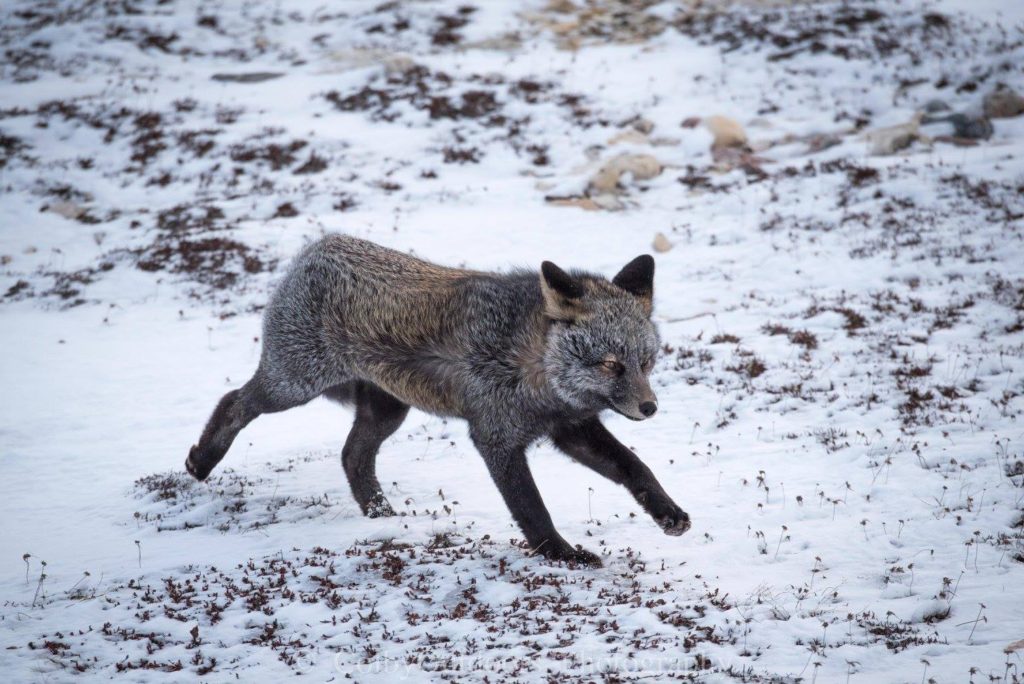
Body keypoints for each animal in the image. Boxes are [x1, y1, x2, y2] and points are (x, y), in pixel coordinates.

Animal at [186, 234, 690, 566]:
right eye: (611, 365)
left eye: (646, 362)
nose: (650, 408)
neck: (536, 374)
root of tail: (320, 246)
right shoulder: (496, 438)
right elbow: (533, 510)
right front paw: (563, 555)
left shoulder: (570, 429)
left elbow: (635, 468)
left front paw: (668, 514)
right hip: (294, 385)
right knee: (235, 401)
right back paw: (202, 460)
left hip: (388, 411)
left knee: (352, 456)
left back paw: (381, 516)